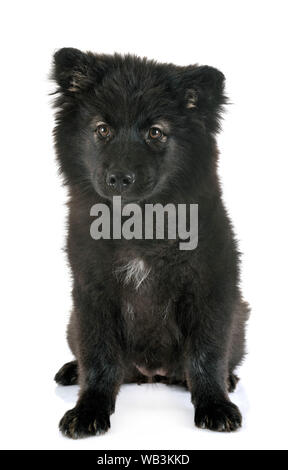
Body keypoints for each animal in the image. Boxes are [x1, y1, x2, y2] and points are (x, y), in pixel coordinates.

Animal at [52, 47, 250, 436]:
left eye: (156, 133)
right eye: (102, 129)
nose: (119, 178)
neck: (139, 224)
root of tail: (150, 374)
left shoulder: (210, 288)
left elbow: (206, 354)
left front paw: (215, 405)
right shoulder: (92, 293)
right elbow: (97, 359)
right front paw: (88, 411)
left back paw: (229, 381)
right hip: (72, 322)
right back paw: (70, 371)